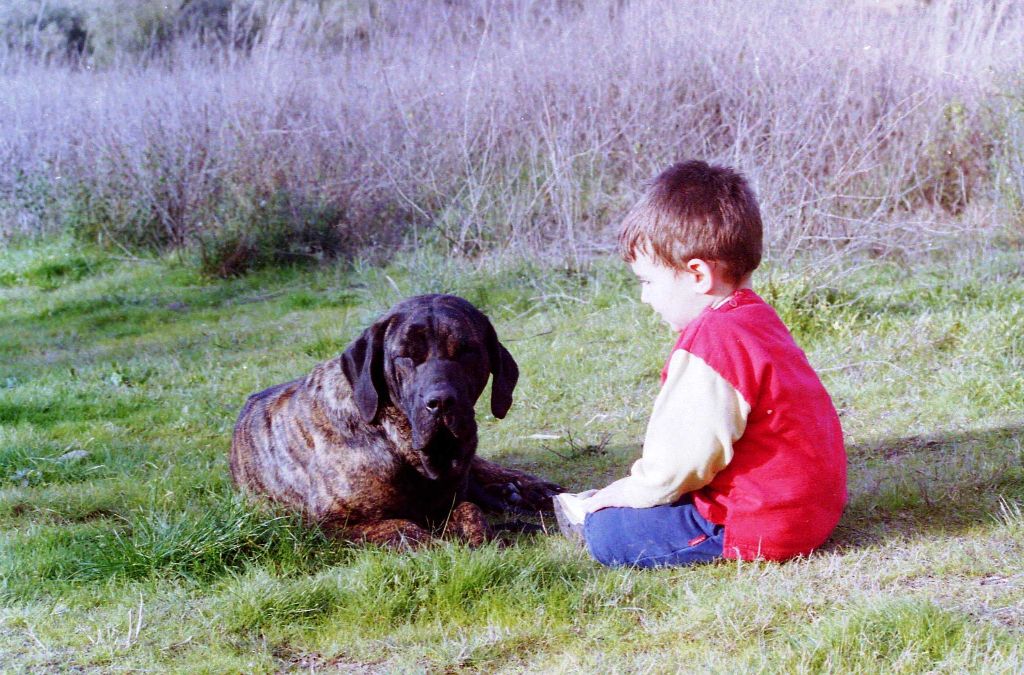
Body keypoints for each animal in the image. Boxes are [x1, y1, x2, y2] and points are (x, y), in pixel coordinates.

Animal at [229, 292, 565, 544]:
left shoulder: (450, 500)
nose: (440, 402)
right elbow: (403, 528)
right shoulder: (328, 525)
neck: (393, 440)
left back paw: (530, 489)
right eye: (405, 356)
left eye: (467, 351)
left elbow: (470, 509)